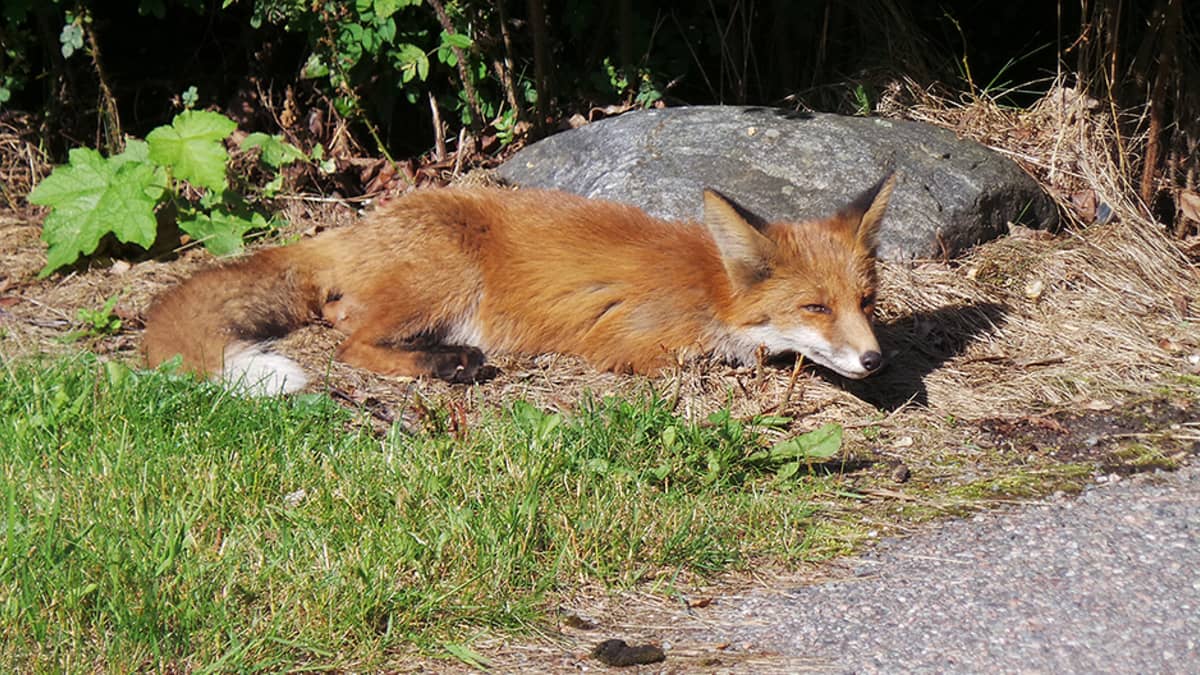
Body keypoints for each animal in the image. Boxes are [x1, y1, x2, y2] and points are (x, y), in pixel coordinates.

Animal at [142, 172, 892, 393]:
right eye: (815, 306)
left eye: (865, 303)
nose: (875, 360)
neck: (708, 287)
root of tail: (351, 227)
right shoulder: (636, 346)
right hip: (447, 278)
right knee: (350, 345)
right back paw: (447, 366)